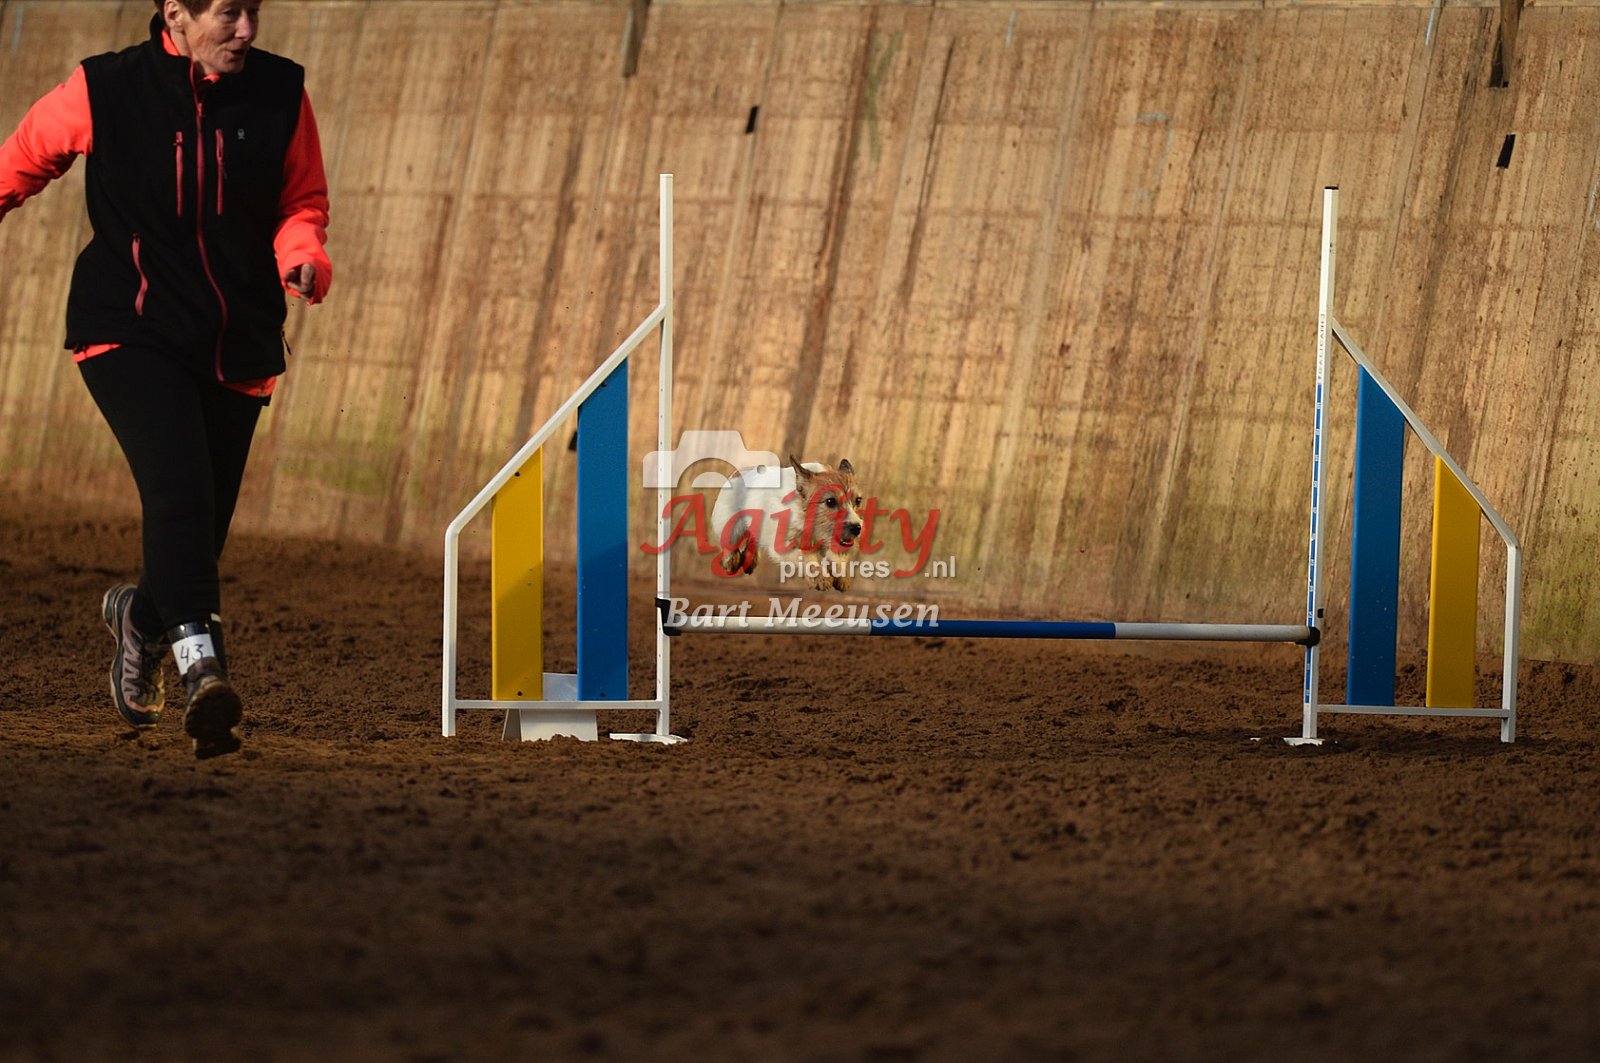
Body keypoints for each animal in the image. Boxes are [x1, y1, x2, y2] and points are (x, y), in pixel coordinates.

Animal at [711, 456, 864, 591]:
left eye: (858, 500)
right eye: (830, 501)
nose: (857, 528)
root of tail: (739, 472)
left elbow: (837, 557)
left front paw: (841, 575)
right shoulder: (783, 545)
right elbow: (806, 556)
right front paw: (820, 577)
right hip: (730, 525)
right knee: (730, 542)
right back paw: (731, 560)